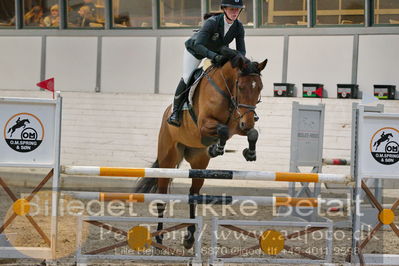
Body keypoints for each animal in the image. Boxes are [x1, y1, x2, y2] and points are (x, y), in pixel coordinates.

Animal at [135, 49, 268, 249]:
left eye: (259, 87)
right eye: (241, 86)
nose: (249, 121)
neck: (226, 91)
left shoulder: (239, 124)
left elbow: (251, 133)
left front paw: (249, 153)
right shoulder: (204, 124)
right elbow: (223, 129)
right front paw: (217, 148)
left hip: (199, 163)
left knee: (193, 195)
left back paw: (189, 237)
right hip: (167, 160)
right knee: (162, 197)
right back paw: (159, 238)